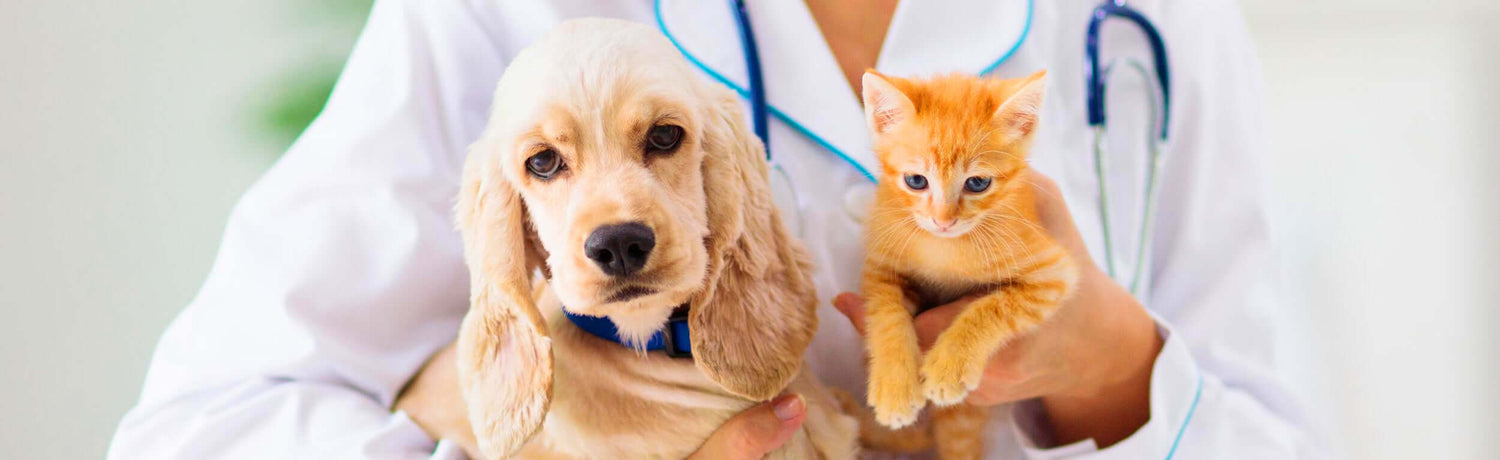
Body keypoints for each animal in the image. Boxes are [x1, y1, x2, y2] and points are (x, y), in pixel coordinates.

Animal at [858, 70, 1080, 458]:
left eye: (977, 183)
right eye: (916, 180)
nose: (943, 220)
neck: (944, 247)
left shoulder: (1053, 273)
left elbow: (992, 308)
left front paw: (950, 365)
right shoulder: (881, 266)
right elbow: (885, 315)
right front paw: (895, 388)